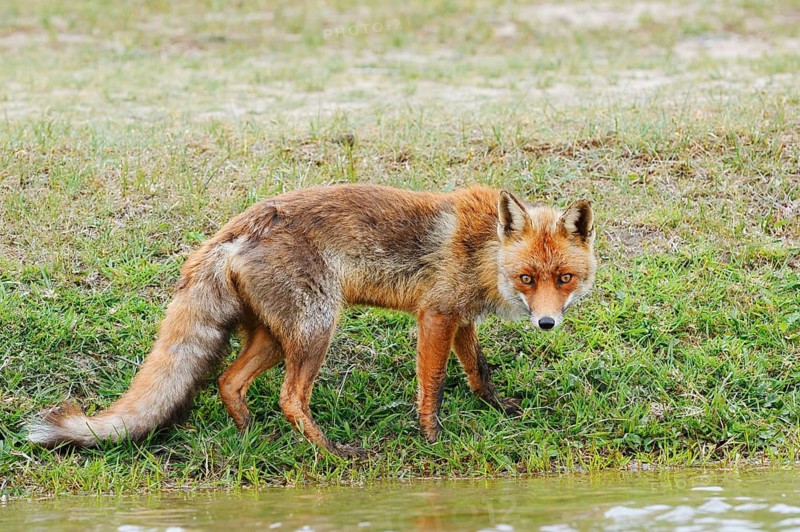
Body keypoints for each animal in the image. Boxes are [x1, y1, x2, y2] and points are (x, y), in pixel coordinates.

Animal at [27, 184, 596, 457]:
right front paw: (432, 436)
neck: (483, 251)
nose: (547, 324)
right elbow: (432, 383)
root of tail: (236, 227)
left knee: (229, 382)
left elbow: (479, 370)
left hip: (275, 337)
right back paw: (333, 453)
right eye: (527, 278)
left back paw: (252, 438)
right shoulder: (435, 314)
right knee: (289, 397)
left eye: (564, 278)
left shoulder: (459, 319)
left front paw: (500, 410)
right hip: (316, 328)